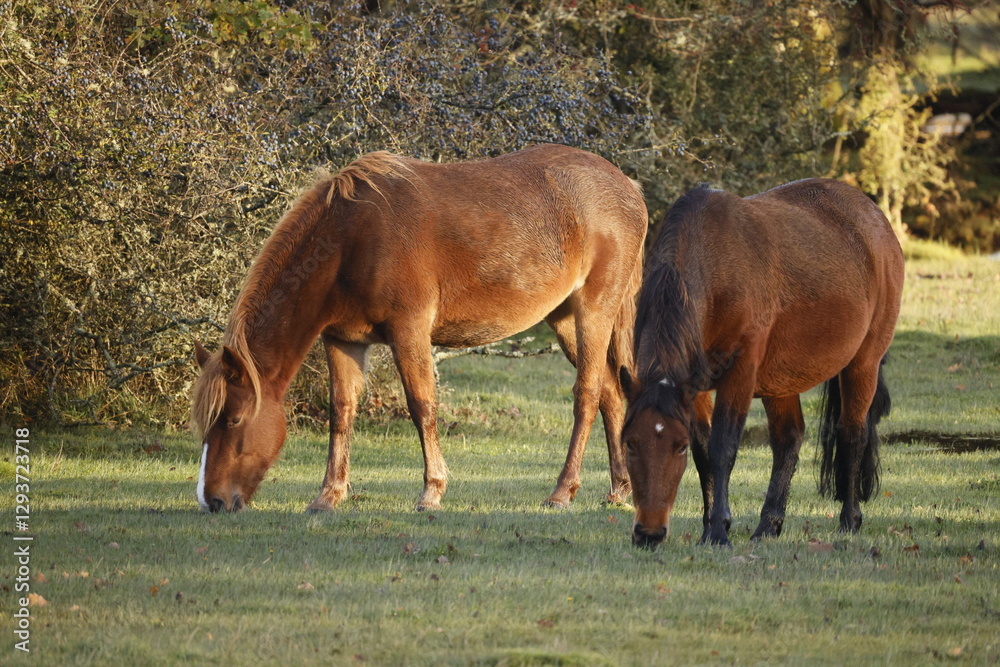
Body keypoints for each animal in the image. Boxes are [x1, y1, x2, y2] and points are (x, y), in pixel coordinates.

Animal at [191, 144, 647, 513]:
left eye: (232, 420)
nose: (212, 501)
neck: (352, 237)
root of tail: (627, 186)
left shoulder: (408, 331)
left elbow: (422, 406)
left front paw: (432, 492)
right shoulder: (342, 341)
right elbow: (341, 413)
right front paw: (328, 496)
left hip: (593, 313)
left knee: (587, 394)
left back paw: (562, 492)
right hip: (565, 319)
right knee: (610, 392)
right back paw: (619, 489)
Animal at [620, 178, 904, 548]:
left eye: (677, 446)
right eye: (629, 442)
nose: (648, 533)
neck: (715, 262)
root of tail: (874, 218)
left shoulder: (739, 375)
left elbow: (722, 448)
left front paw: (718, 530)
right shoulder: (696, 387)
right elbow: (705, 453)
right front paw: (710, 527)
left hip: (863, 364)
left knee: (852, 435)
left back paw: (849, 520)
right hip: (780, 383)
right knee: (789, 440)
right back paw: (769, 524)